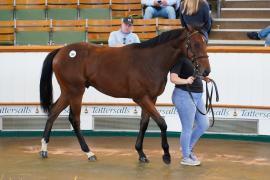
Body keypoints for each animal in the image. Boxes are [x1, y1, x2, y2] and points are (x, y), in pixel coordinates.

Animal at [39, 27, 210, 164]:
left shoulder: (151, 98)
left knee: (53, 113)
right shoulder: (141, 98)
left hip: (68, 92)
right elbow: (162, 123)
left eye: (205, 43)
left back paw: (44, 149)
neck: (151, 61)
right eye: (195, 44)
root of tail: (61, 51)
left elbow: (144, 124)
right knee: (74, 119)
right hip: (75, 91)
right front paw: (166, 155)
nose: (206, 71)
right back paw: (89, 153)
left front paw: (141, 153)